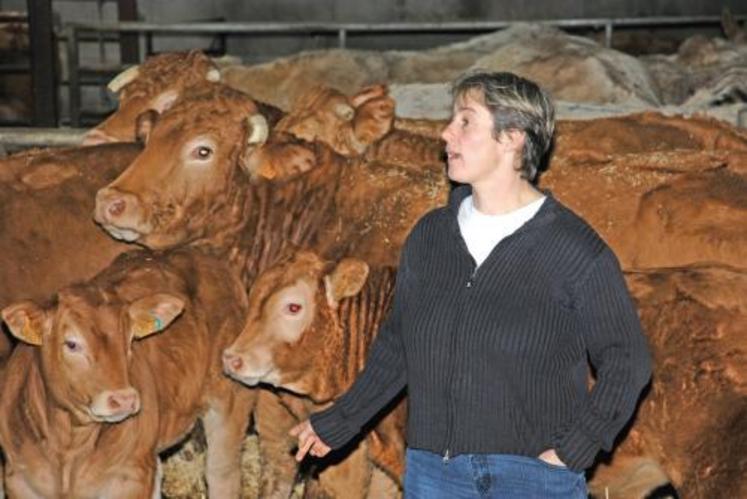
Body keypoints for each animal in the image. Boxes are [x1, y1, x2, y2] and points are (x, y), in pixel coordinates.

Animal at [0, 248, 254, 498]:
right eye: (71, 344)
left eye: (130, 339)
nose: (124, 400)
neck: (68, 444)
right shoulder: (18, 479)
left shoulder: (129, 476)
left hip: (230, 401)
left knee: (222, 474)